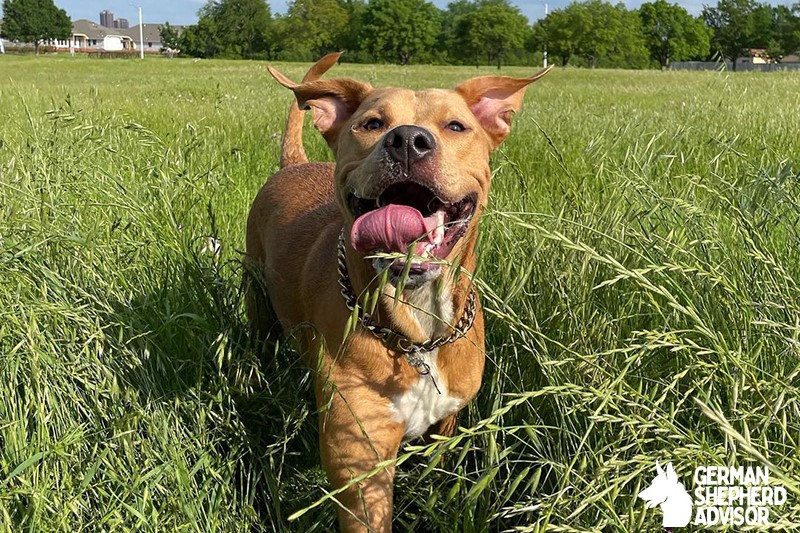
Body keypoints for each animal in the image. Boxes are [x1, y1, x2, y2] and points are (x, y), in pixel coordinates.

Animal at [247, 53, 552, 528]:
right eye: (372, 124)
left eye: (456, 126)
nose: (408, 140)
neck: (417, 328)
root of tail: (294, 163)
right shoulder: (360, 460)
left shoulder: (446, 424)